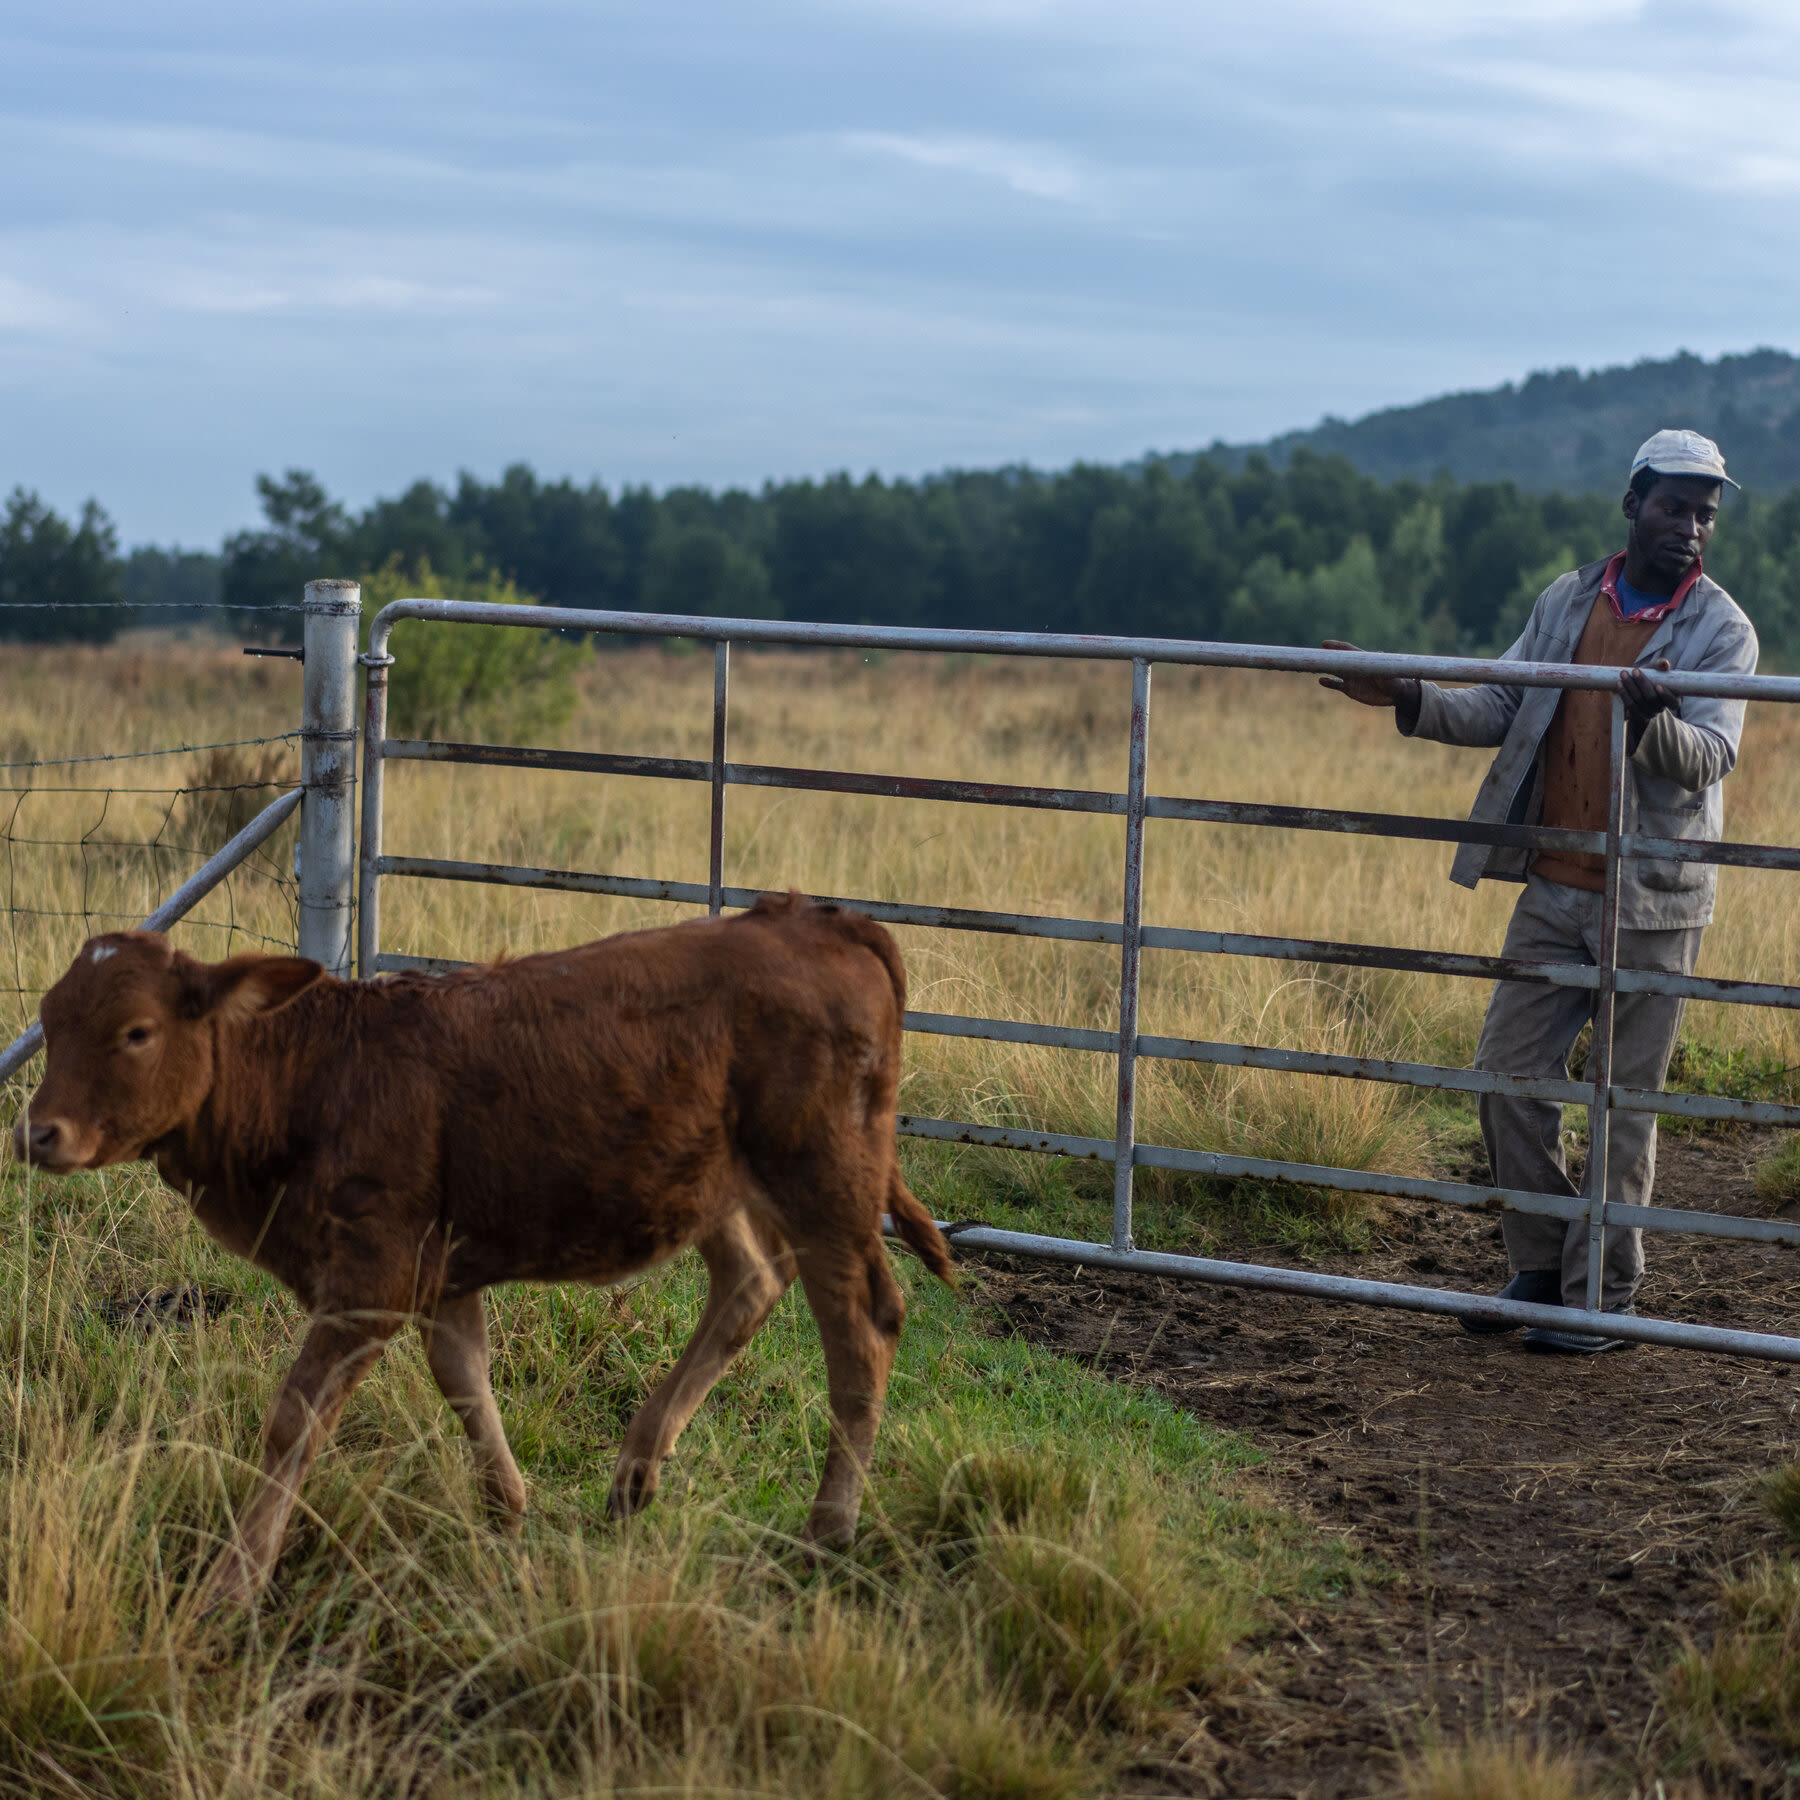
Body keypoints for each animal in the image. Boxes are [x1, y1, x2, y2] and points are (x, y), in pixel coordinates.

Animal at [14, 892, 957, 1612]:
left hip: (825, 1177)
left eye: (136, 1032)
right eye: (49, 1021)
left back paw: (827, 1530)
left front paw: (231, 1586)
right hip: (713, 1180)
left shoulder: (372, 1276)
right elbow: (465, 1377)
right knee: (751, 1281)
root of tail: (815, 918)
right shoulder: (440, 1269)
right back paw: (636, 1471)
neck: (312, 1078)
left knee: (861, 1330)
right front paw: (507, 1511)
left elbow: (293, 1422)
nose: (36, 1133)